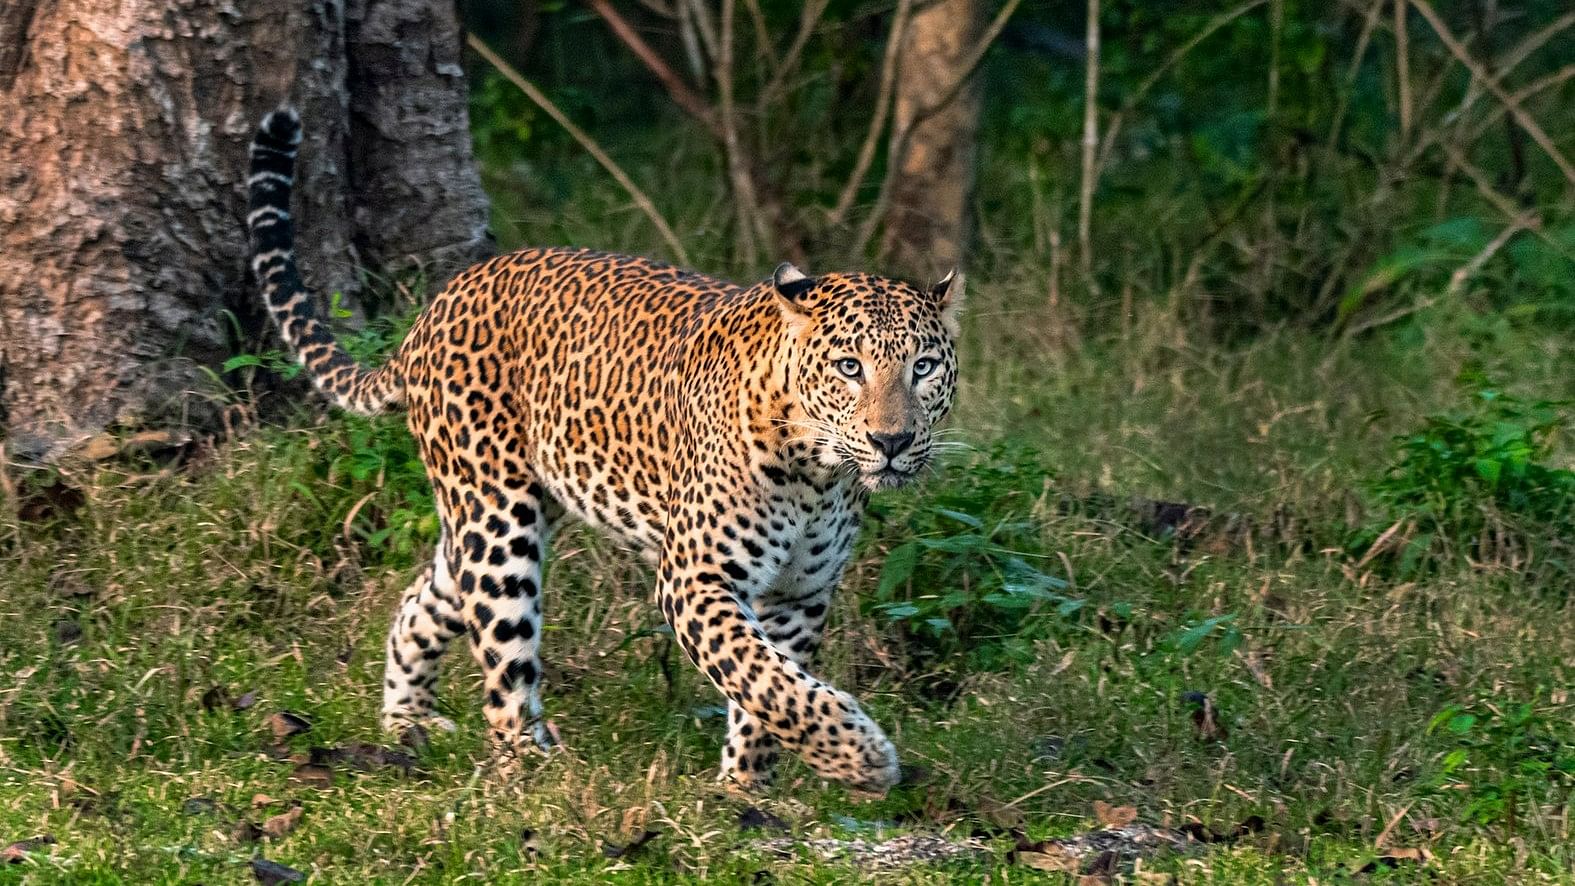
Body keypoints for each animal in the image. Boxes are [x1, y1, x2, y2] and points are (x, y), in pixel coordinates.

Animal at [245, 107, 957, 793]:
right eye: (848, 367)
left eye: (922, 367)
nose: (891, 440)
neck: (819, 477)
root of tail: (437, 307)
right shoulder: (696, 576)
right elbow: (761, 675)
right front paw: (861, 757)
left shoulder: (801, 593)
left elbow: (770, 692)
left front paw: (747, 789)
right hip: (498, 522)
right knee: (502, 666)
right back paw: (533, 770)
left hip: (506, 511)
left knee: (429, 594)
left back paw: (407, 717)